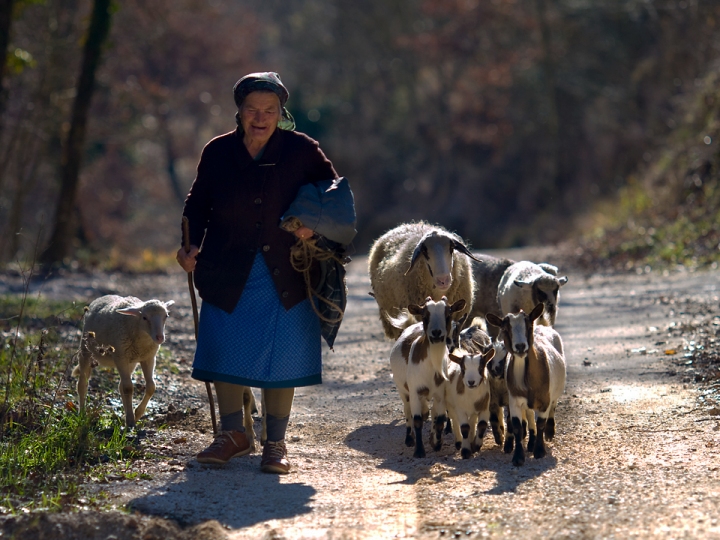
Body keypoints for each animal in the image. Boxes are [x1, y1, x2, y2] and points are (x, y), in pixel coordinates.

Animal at [73, 294, 174, 428]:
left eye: (166, 316)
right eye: (144, 317)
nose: (160, 338)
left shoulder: (149, 358)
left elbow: (151, 386)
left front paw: (137, 414)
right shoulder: (121, 357)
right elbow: (128, 388)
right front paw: (131, 421)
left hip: (130, 362)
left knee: (121, 386)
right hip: (86, 350)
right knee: (82, 384)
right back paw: (82, 414)